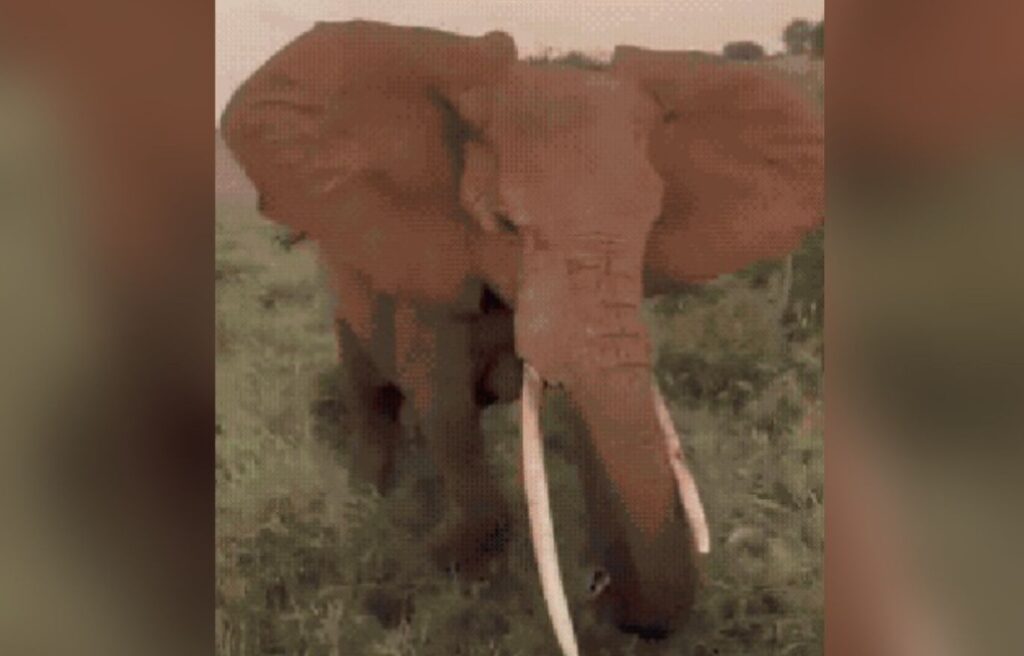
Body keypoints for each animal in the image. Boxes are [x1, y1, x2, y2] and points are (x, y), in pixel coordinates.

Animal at [221, 20, 823, 648]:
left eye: (651, 223)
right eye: (506, 225)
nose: (596, 584)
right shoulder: (431, 270)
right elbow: (444, 409)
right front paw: (443, 560)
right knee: (370, 391)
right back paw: (370, 500)